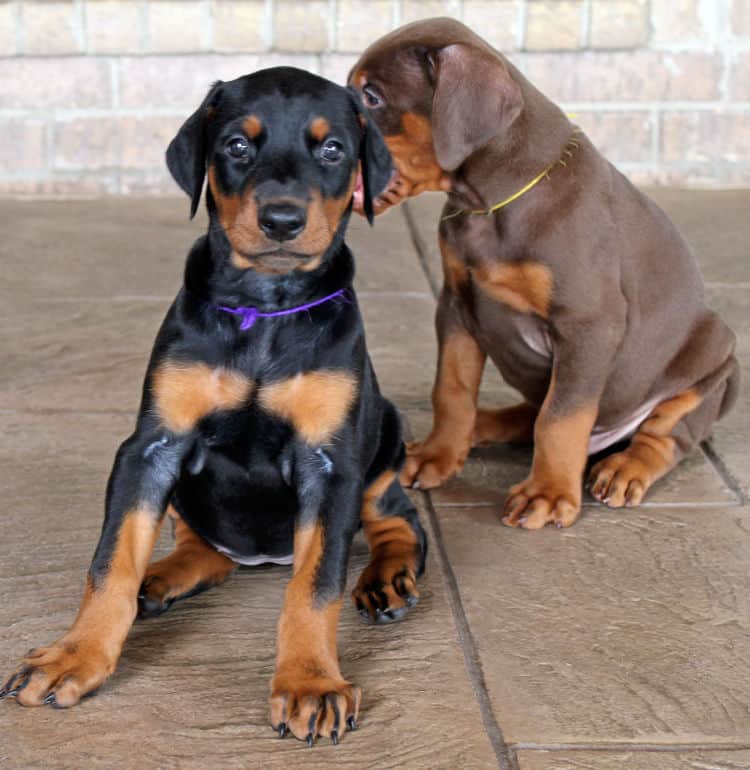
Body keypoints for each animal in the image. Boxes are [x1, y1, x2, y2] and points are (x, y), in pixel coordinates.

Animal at [0, 67, 426, 744]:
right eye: (237, 145)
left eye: (333, 150)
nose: (281, 219)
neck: (264, 306)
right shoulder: (151, 447)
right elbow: (109, 562)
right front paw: (76, 655)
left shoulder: (330, 464)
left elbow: (316, 584)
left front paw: (311, 684)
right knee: (202, 546)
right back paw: (161, 577)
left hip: (383, 435)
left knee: (398, 521)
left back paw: (388, 579)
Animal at [350, 22, 744, 528]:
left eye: (372, 96)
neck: (489, 203)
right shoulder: (457, 304)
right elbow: (452, 388)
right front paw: (440, 453)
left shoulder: (588, 325)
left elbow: (561, 418)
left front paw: (548, 494)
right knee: (526, 414)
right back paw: (480, 425)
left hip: (713, 365)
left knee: (663, 437)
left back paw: (625, 468)